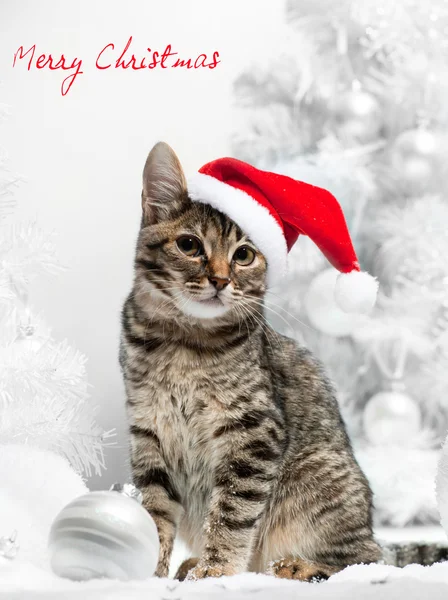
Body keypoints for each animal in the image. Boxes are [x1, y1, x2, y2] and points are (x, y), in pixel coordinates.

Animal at [119, 142, 430, 580]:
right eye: (189, 245)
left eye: (244, 255)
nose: (220, 280)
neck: (184, 343)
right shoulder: (148, 433)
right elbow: (156, 514)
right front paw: (151, 570)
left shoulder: (253, 432)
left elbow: (231, 513)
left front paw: (215, 570)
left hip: (316, 483)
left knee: (366, 559)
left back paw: (296, 566)